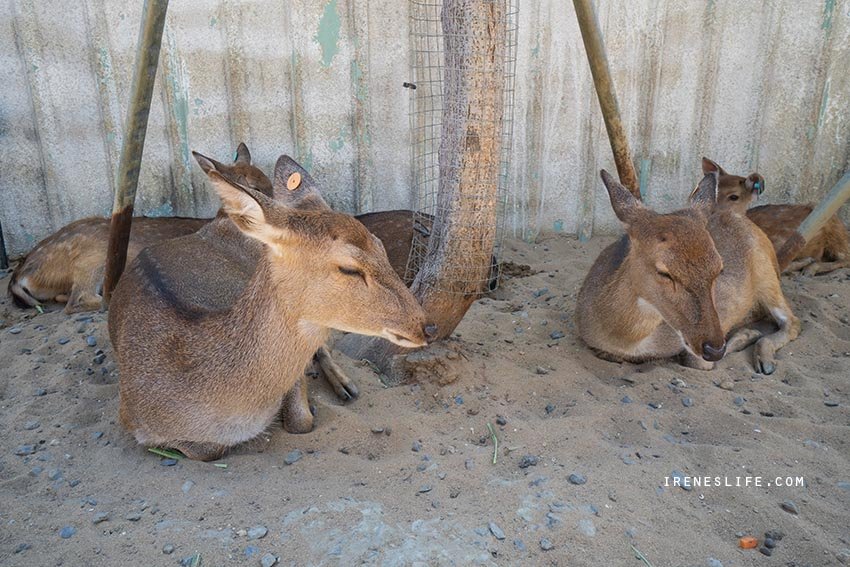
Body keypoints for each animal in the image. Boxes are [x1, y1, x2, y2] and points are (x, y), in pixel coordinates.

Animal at [108, 151, 434, 462]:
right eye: (349, 268)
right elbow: (208, 450)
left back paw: (344, 385)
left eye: (381, 247)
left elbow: (301, 420)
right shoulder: (131, 419)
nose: (427, 326)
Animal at [572, 164, 800, 374]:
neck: (626, 340)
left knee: (792, 321)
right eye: (664, 272)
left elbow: (697, 361)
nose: (714, 349)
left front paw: (747, 335)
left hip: (766, 275)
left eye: (719, 268)